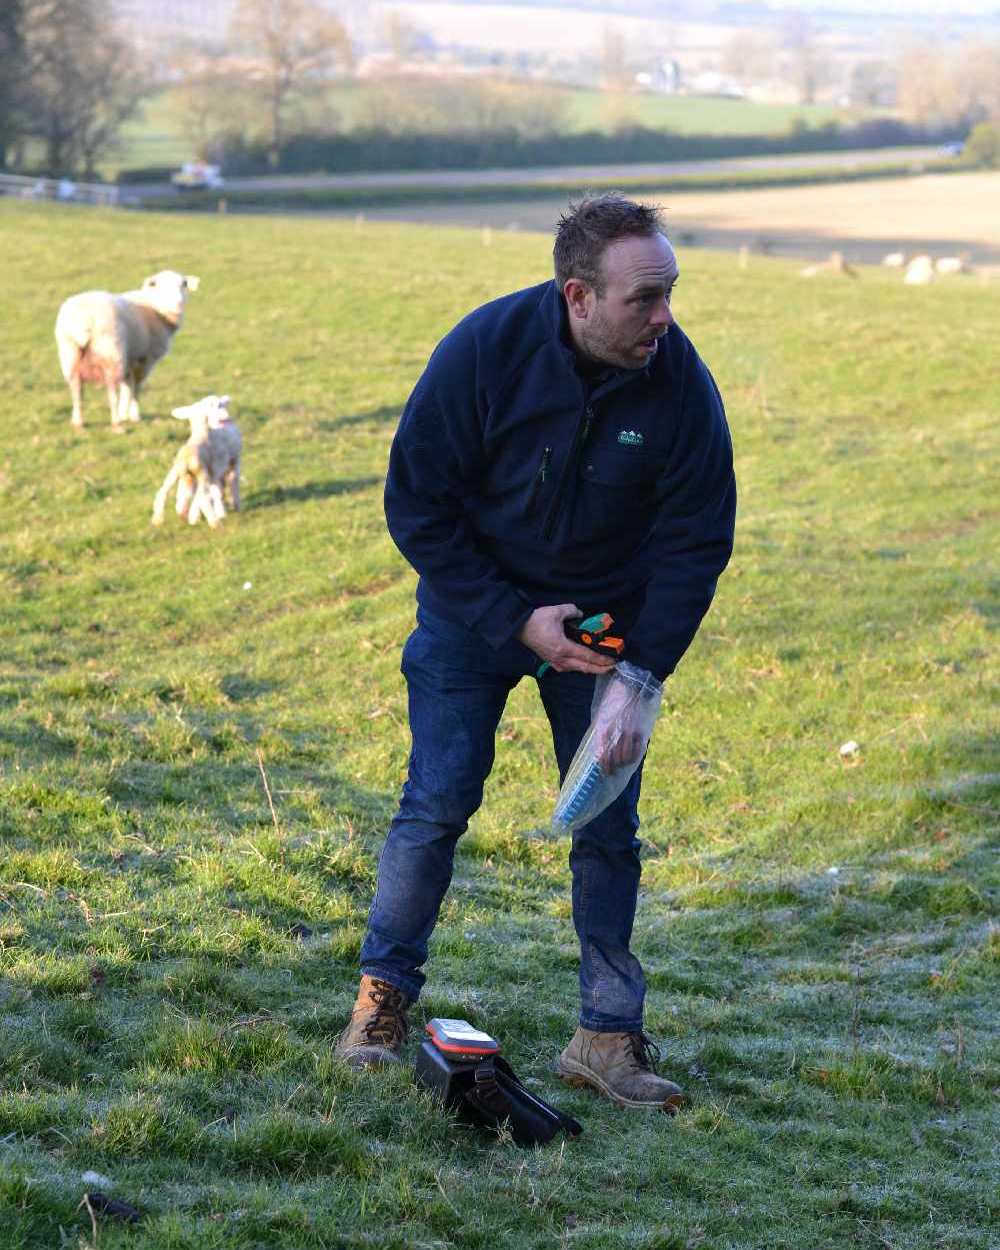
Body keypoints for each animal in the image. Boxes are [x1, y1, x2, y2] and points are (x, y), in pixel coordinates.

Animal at [54, 270, 198, 430]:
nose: (178, 303)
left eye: (184, 284)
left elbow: (126, 386)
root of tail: (83, 321)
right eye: (161, 286)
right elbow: (136, 388)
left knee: (76, 390)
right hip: (111, 352)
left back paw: (78, 422)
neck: (154, 307)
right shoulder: (144, 359)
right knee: (111, 392)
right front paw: (134, 415)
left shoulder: (129, 357)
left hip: (70, 355)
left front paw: (125, 413)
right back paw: (116, 423)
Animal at [151, 390, 243, 527]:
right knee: (203, 496)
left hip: (176, 472)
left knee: (163, 492)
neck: (201, 433)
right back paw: (212, 521)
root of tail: (186, 460)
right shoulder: (218, 469)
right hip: (203, 474)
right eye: (218, 405)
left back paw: (162, 517)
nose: (225, 417)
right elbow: (220, 489)